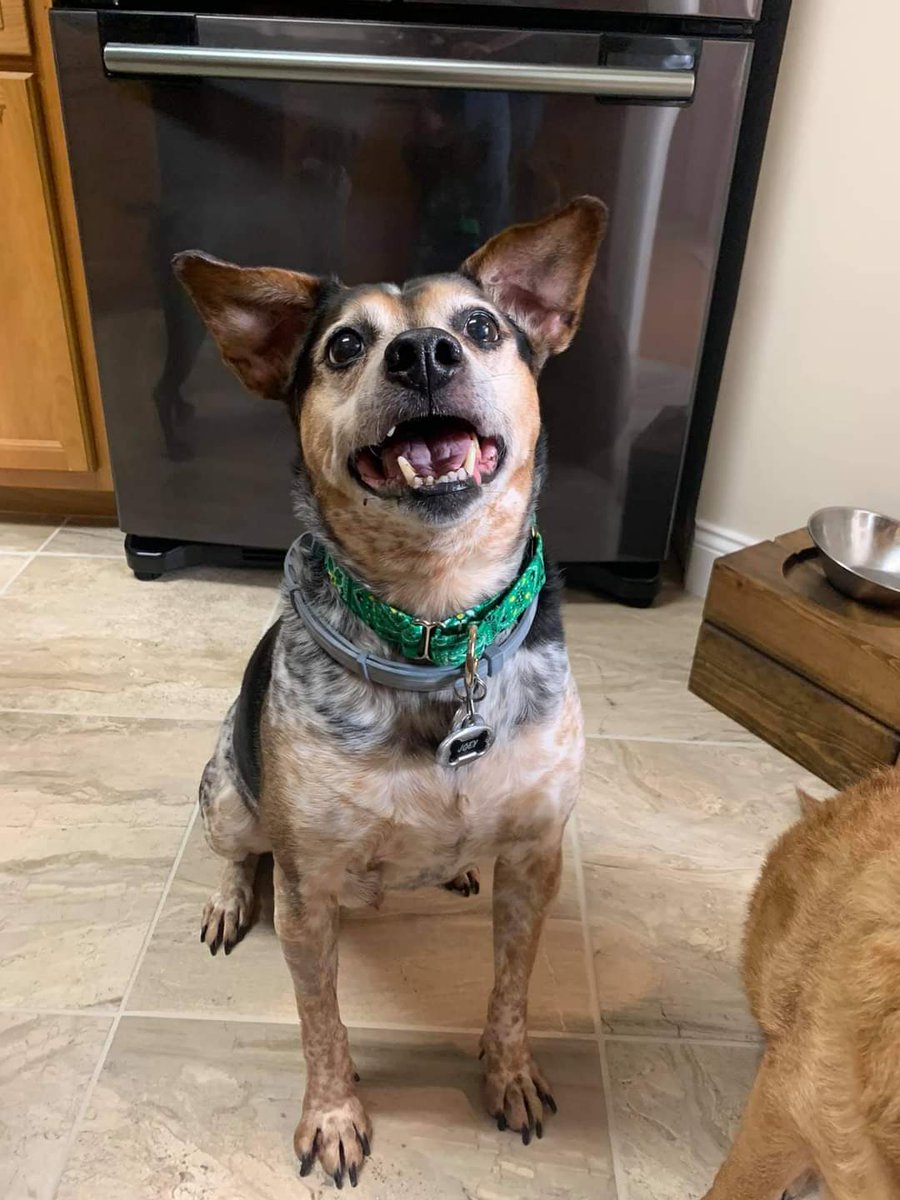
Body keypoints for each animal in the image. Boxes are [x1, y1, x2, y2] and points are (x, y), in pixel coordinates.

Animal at [174, 194, 614, 1180]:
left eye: (482, 327)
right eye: (344, 345)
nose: (422, 354)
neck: (440, 631)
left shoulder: (536, 856)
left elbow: (512, 990)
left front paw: (510, 1074)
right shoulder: (308, 894)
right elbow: (321, 1024)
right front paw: (335, 1117)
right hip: (227, 790)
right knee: (233, 848)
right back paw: (226, 901)